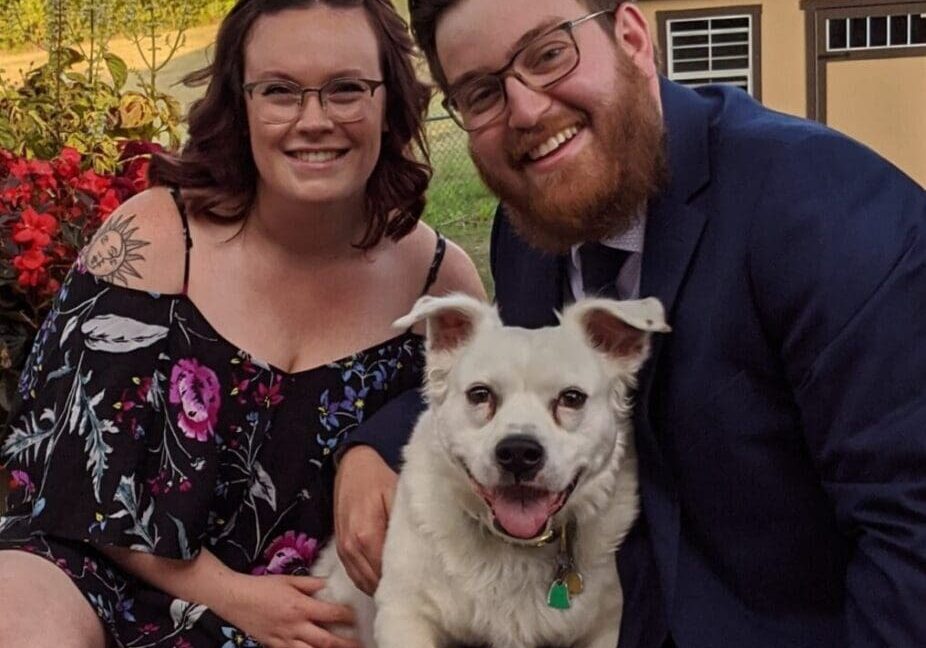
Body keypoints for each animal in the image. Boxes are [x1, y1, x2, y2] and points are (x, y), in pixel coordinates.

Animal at [316, 294, 672, 648]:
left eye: (572, 397)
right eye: (480, 393)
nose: (519, 454)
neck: (515, 551)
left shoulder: (606, 628)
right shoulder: (404, 614)